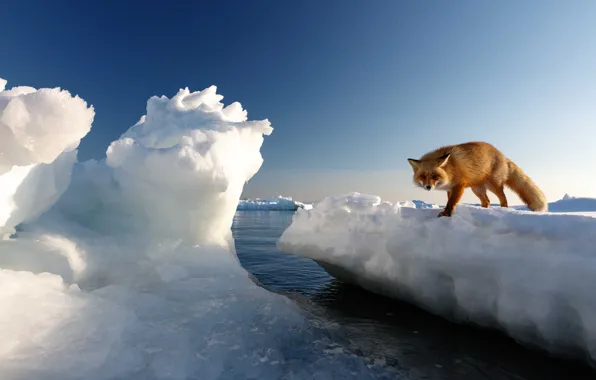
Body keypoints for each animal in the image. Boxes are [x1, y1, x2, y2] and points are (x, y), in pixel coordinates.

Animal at [408, 141, 548, 217]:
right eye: (423, 176)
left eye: (434, 176)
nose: (428, 187)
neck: (450, 168)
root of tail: (503, 156)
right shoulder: (450, 188)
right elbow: (449, 201)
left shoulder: (459, 185)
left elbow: (451, 202)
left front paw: (446, 214)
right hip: (477, 189)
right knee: (487, 201)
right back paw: (483, 210)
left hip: (493, 185)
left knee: (503, 199)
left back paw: (503, 209)